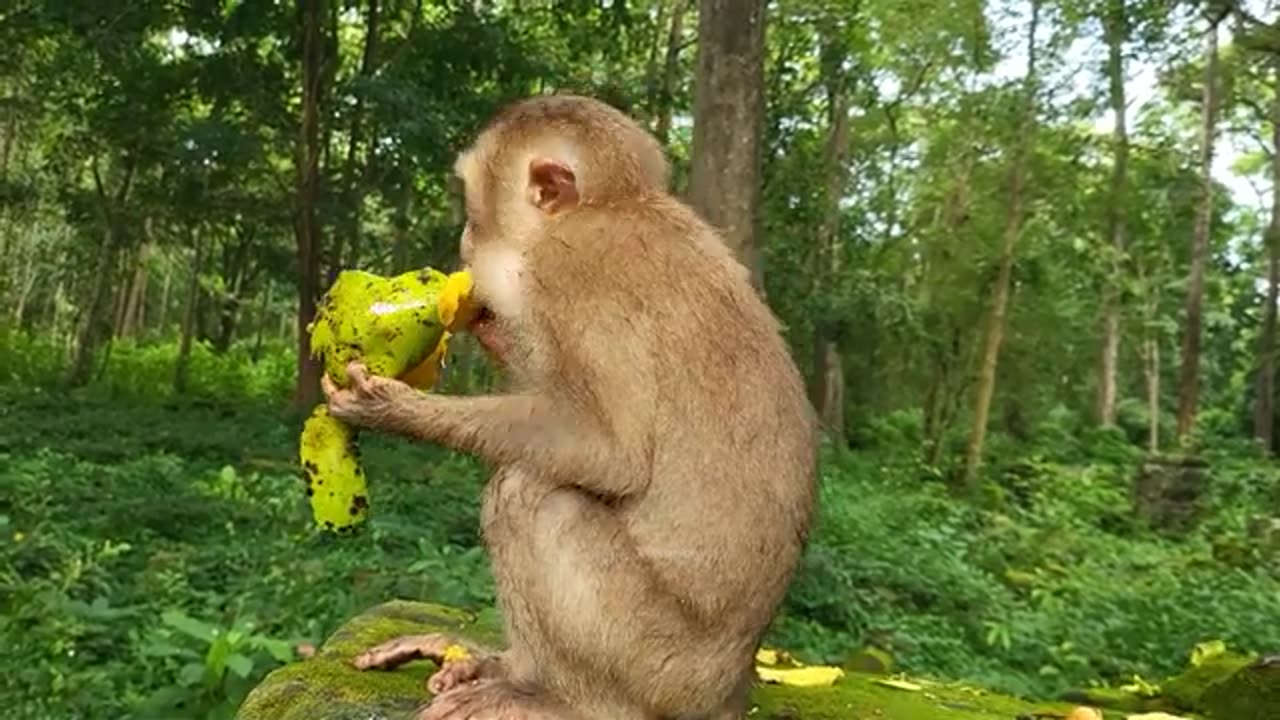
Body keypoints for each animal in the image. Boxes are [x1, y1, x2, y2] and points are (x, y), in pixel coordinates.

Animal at [322, 94, 819, 717]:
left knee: (530, 495)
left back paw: (552, 695)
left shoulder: (569, 269)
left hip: (657, 664)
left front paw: (394, 410)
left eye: (473, 212)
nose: (463, 242)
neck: (616, 204)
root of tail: (731, 692)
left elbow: (612, 452)